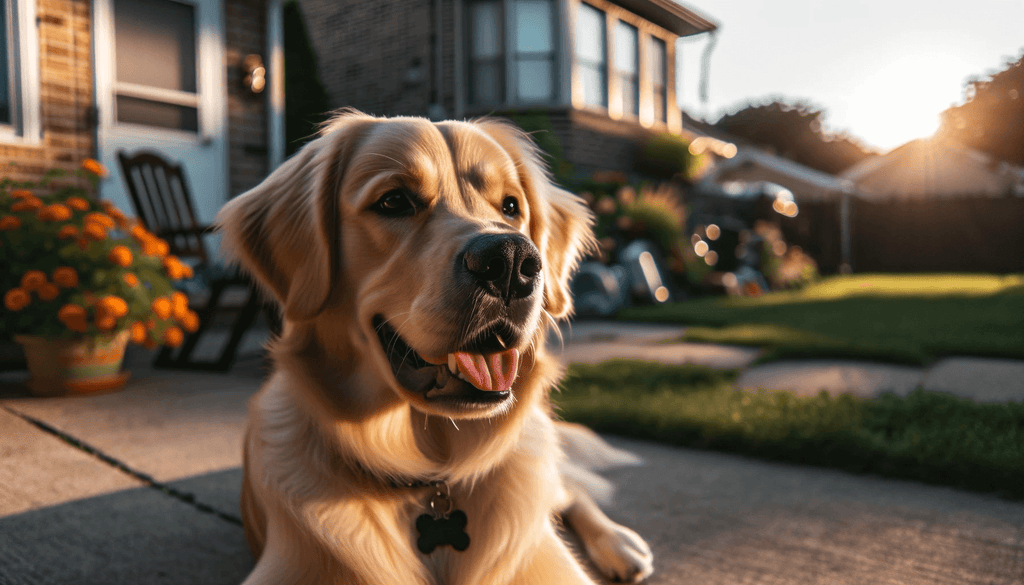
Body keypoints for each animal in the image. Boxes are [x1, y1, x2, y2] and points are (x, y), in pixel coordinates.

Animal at [214, 111, 655, 585]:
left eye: (511, 206)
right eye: (393, 201)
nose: (512, 262)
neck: (432, 478)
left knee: (570, 492)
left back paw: (619, 543)